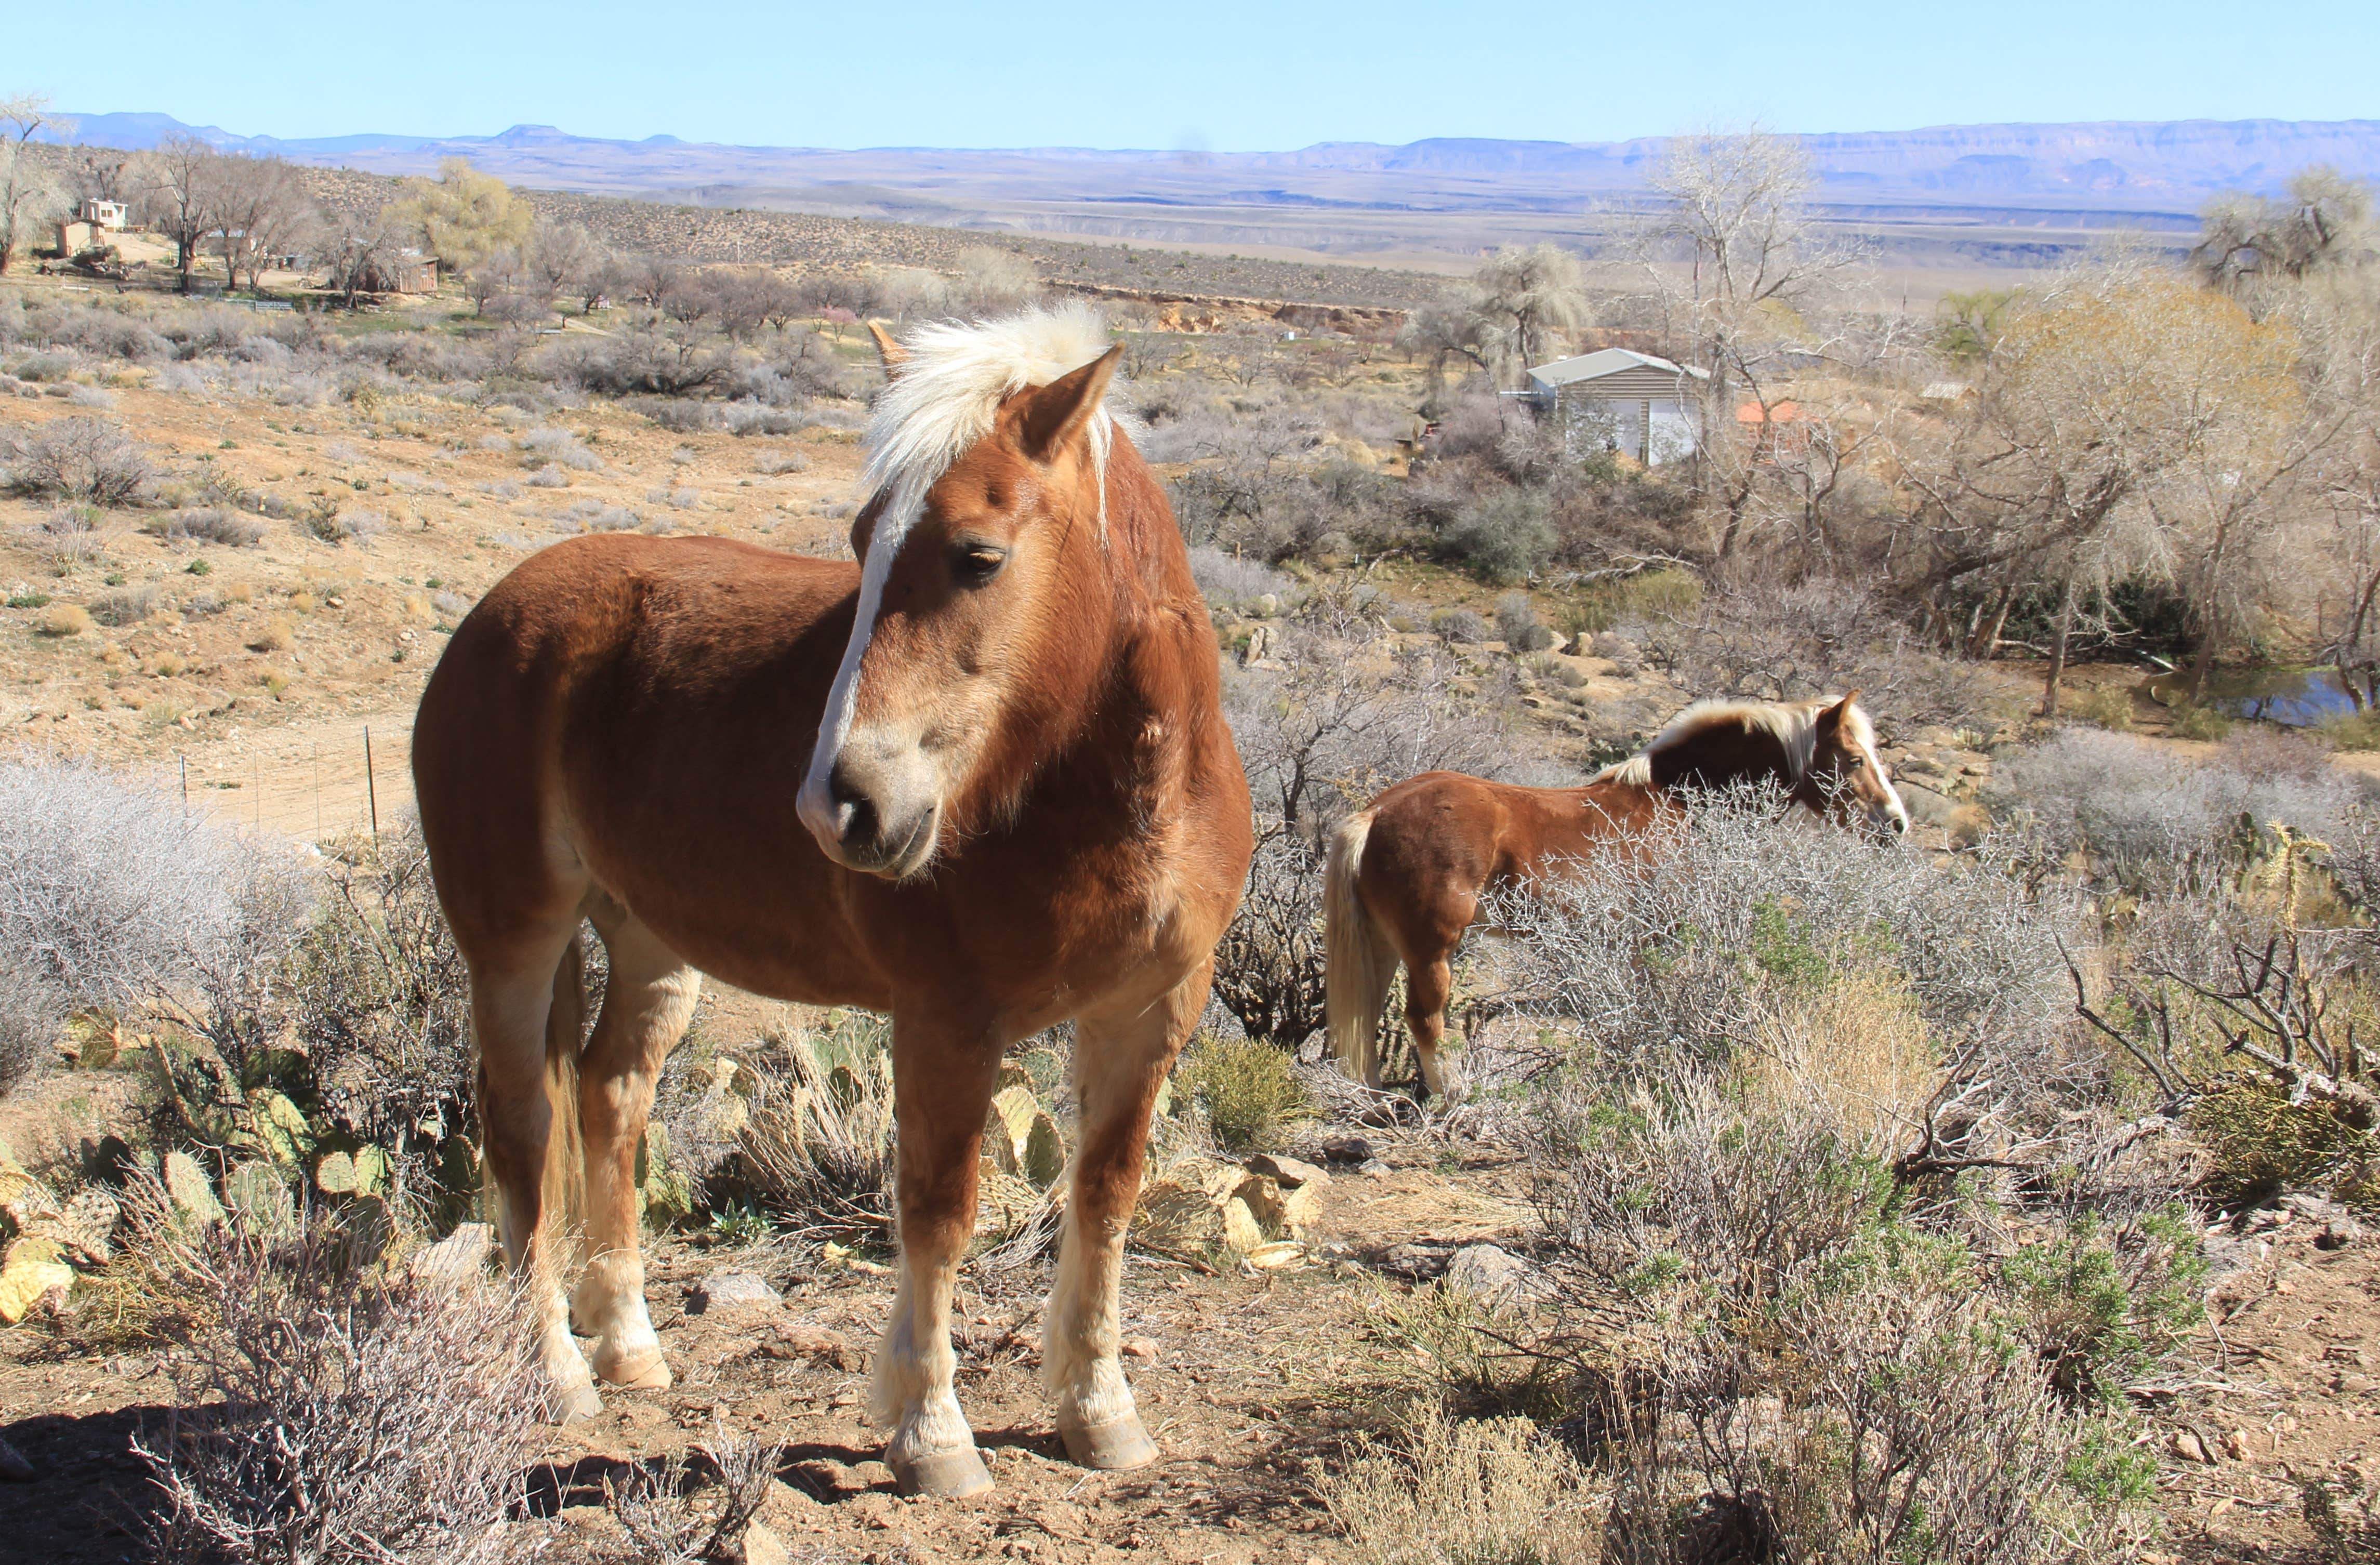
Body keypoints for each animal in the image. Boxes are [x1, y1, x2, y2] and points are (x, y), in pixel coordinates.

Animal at [411, 306, 1253, 1499]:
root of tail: (500, 609)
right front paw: (932, 1435)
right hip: (512, 938)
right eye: (862, 544)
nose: (838, 806)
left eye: (978, 556)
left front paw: (1101, 1415)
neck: (1112, 792)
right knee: (524, 1124)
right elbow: (940, 1212)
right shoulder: (948, 1020)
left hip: (649, 941)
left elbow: (1106, 1196)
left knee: (611, 1099)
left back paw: (629, 1348)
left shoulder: (1148, 1012)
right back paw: (560, 1373)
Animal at [1322, 693, 1908, 1097]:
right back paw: (1451, 1097)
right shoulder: (1662, 932)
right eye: (1853, 759)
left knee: (1364, 1015)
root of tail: (1376, 813)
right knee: (1424, 1020)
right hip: (1432, 950)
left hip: (1385, 944)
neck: (1679, 800)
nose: (1896, 823)